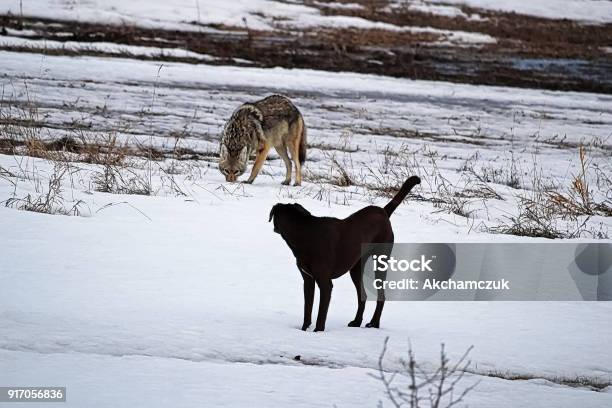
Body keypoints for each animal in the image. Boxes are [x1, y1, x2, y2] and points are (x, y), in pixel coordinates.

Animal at [272, 176, 420, 332]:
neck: (304, 232)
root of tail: (383, 212)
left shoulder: (325, 283)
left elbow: (321, 313)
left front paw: (318, 331)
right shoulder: (308, 280)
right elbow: (308, 308)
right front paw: (304, 329)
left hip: (381, 260)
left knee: (381, 296)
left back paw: (374, 323)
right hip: (355, 268)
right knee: (362, 295)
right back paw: (356, 321)